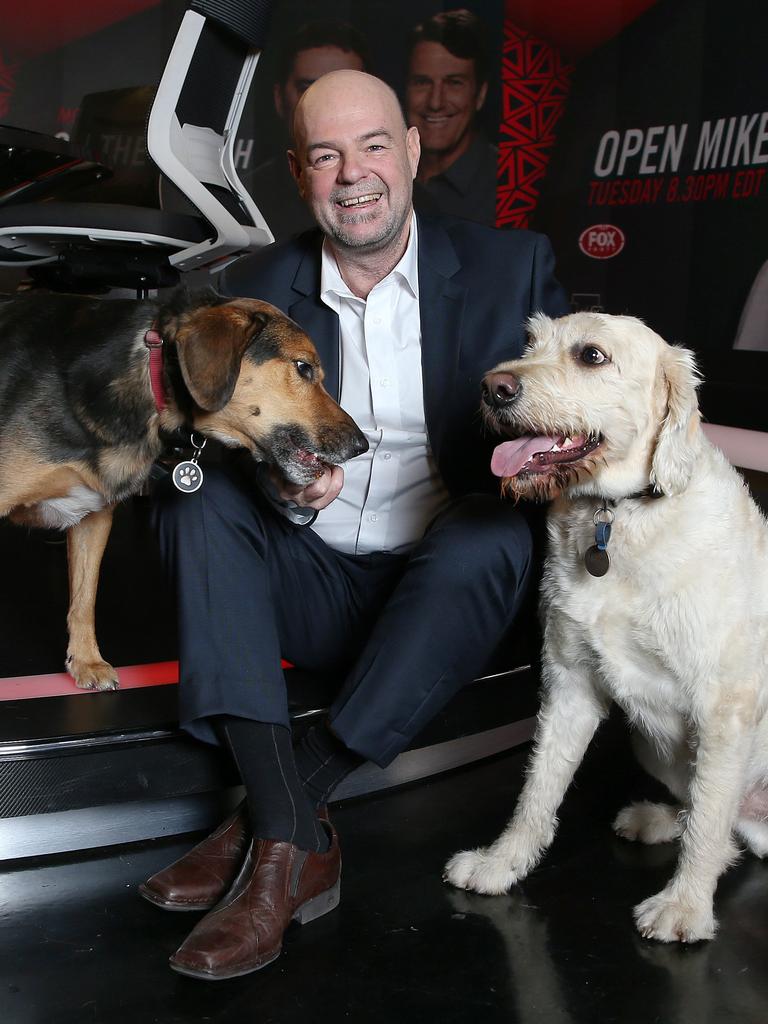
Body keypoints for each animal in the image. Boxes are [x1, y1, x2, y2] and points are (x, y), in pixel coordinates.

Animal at [0, 288, 368, 688]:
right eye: (303, 368)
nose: (362, 445)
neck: (151, 374)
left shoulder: (94, 514)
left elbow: (84, 597)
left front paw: (85, 660)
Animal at [444, 309, 768, 942]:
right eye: (529, 344)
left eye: (592, 356)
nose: (493, 387)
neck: (617, 514)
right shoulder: (568, 682)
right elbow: (537, 790)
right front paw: (502, 863)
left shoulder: (725, 707)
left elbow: (710, 819)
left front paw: (685, 906)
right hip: (653, 747)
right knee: (720, 826)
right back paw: (659, 819)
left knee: (720, 823)